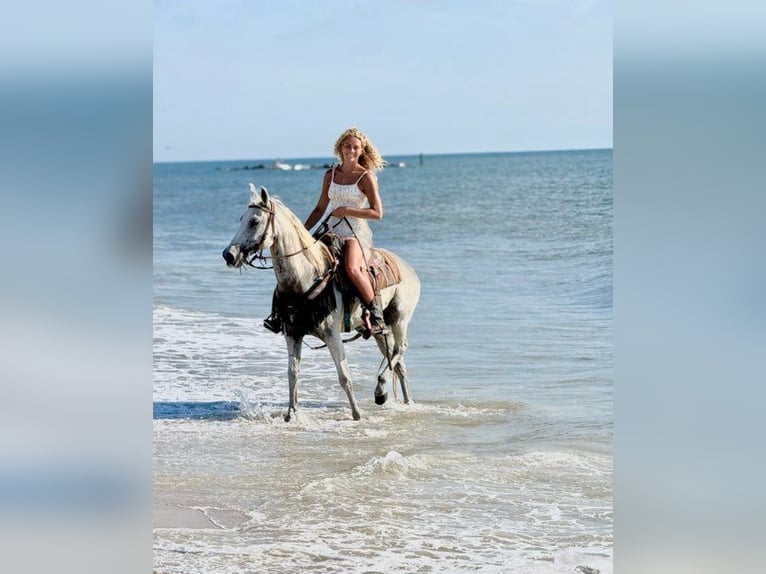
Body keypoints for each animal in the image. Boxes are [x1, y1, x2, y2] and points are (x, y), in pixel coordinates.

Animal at [222, 183, 420, 421]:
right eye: (242, 218)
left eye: (254, 221)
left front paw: (356, 415)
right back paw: (404, 401)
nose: (229, 255)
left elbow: (344, 376)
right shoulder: (293, 333)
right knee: (397, 360)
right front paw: (291, 414)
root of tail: (409, 270)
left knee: (400, 349)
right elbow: (292, 374)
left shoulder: (332, 336)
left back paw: (381, 390)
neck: (305, 279)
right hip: (378, 329)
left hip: (399, 319)